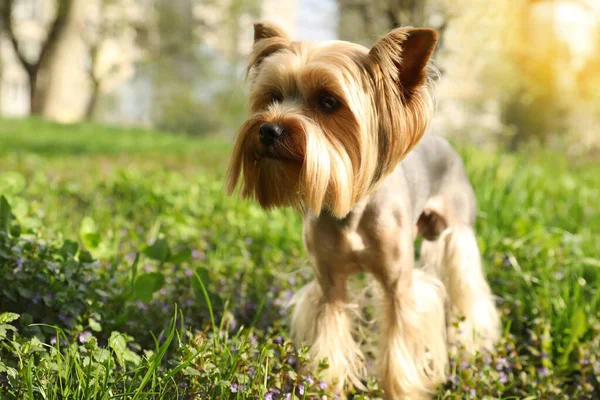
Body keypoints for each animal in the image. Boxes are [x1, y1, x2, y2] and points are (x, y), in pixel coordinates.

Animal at [225, 22, 502, 400]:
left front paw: (401, 391)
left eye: (329, 102)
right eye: (273, 96)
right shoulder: (330, 283)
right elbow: (331, 340)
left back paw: (473, 344)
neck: (351, 208)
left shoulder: (399, 285)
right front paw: (326, 387)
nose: (269, 129)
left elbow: (400, 345)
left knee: (468, 289)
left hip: (456, 232)